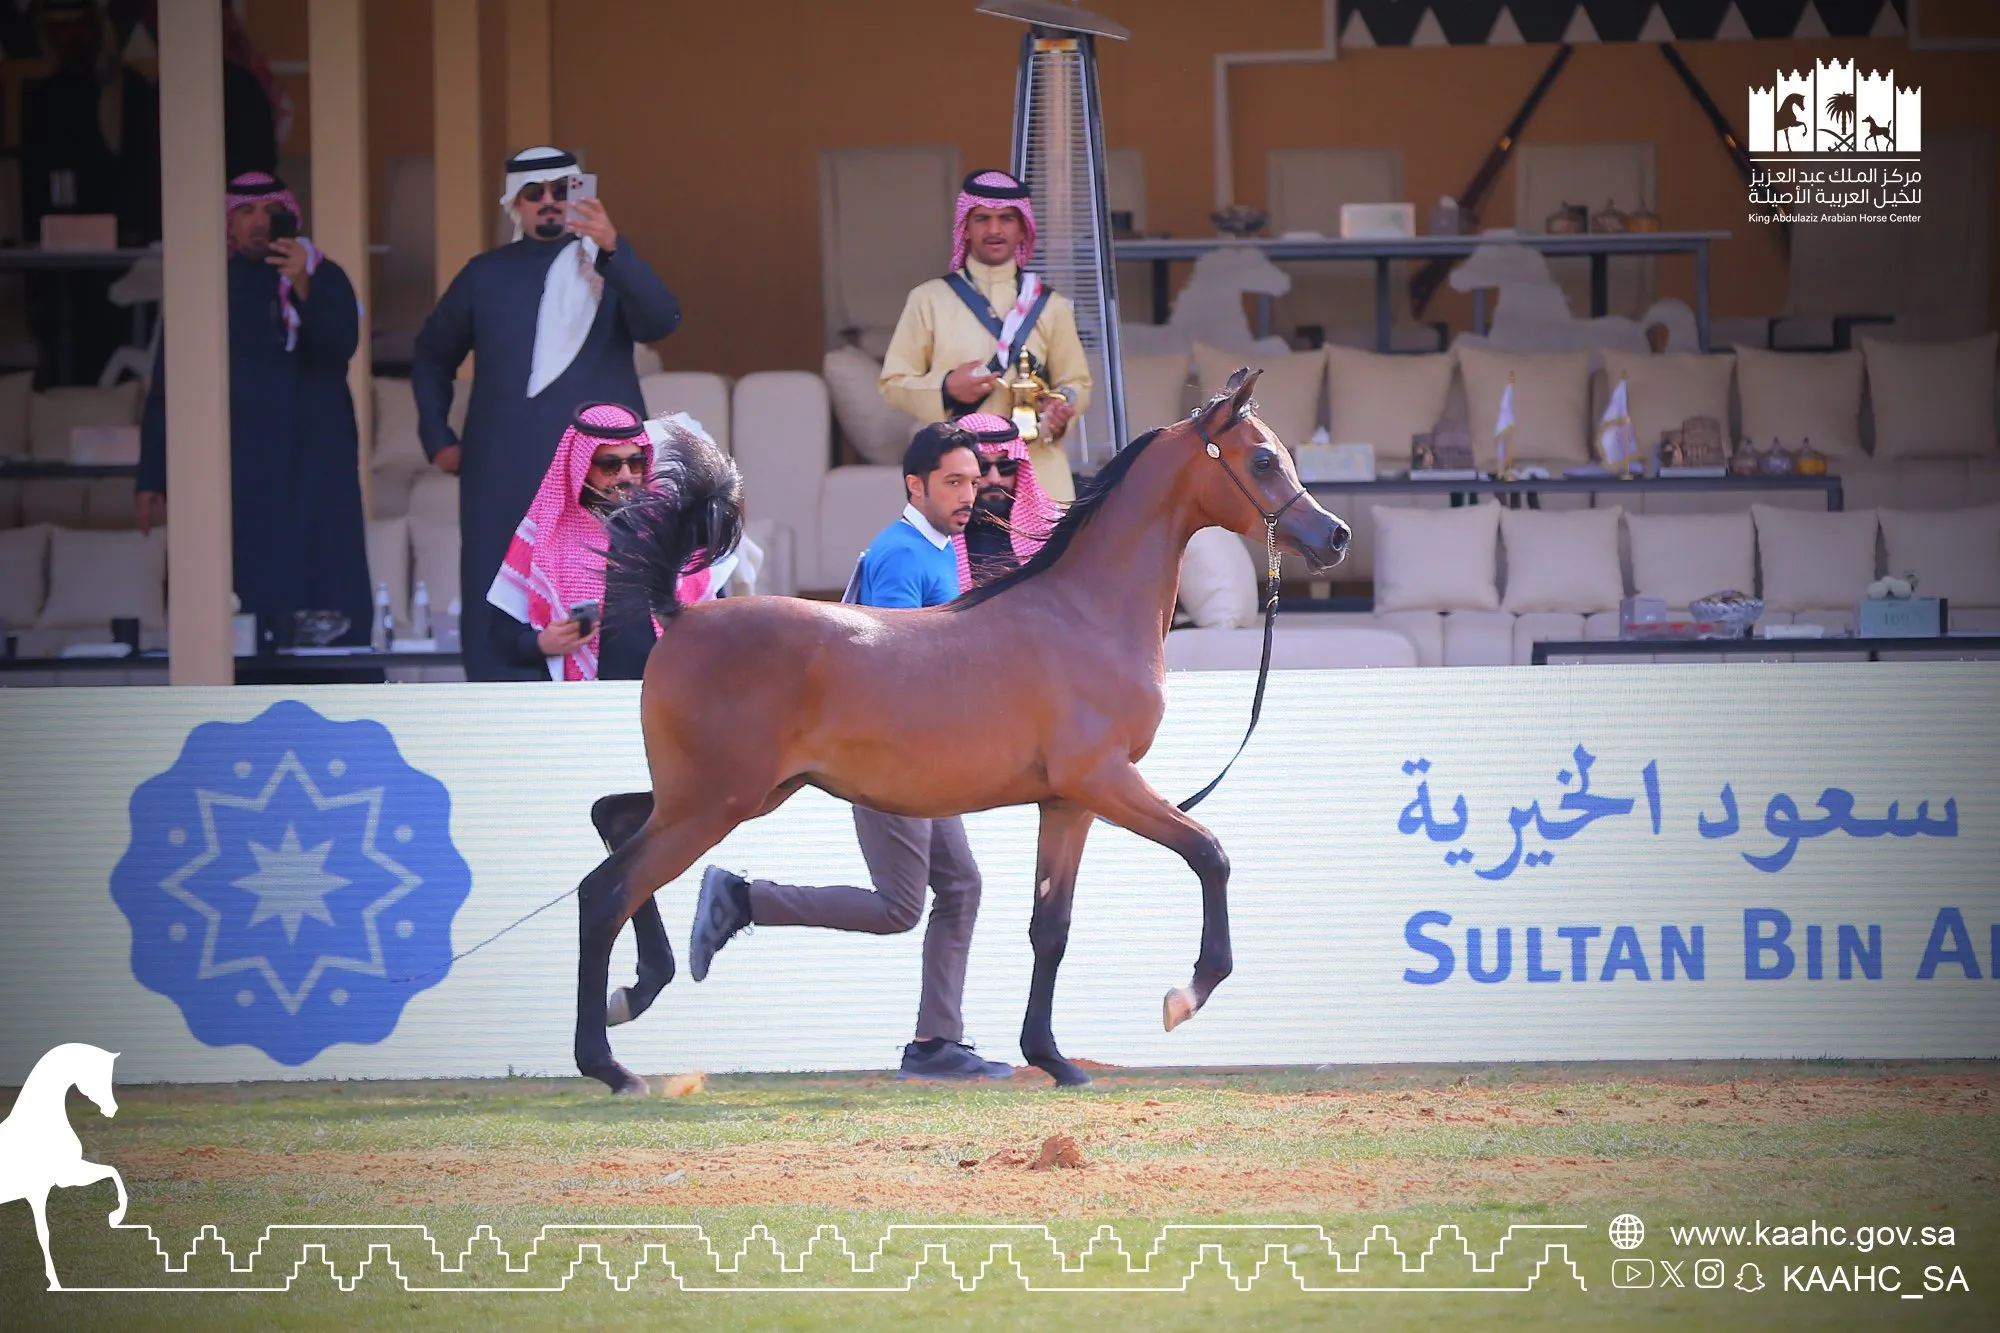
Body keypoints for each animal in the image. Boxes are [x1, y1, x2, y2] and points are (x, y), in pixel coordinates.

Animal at [1, 1043, 129, 1290]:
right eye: (98, 1074)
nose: (113, 1109)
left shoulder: (67, 1176)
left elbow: (112, 1172)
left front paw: (115, 1217)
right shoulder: (38, 1191)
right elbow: (43, 1234)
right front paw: (54, 1282)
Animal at [570, 368, 1350, 1094]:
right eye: (1261, 461)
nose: (1334, 536)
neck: (1085, 612)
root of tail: (682, 615)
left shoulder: (1067, 803)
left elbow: (1050, 929)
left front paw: (1053, 1059)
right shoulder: (1106, 781)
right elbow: (1209, 853)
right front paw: (1185, 995)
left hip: (732, 794)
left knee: (611, 822)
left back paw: (643, 985)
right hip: (713, 803)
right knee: (606, 890)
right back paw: (609, 1063)